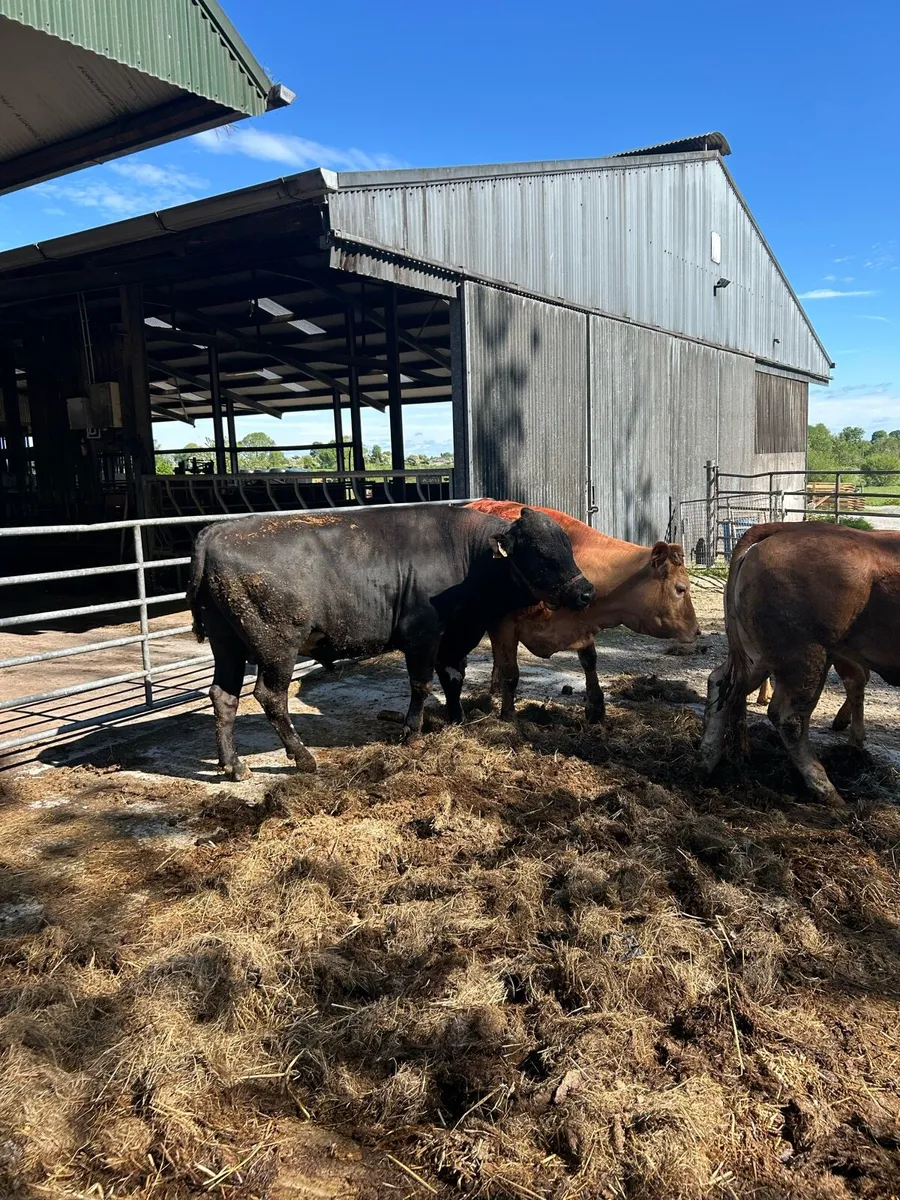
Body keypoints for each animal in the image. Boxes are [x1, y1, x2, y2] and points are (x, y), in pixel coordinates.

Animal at [186, 504, 594, 780]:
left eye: (567, 547)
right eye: (540, 553)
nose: (587, 592)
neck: (467, 555)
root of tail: (217, 532)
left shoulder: (453, 638)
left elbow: (453, 678)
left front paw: (457, 720)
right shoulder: (423, 635)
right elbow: (421, 683)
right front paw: (412, 732)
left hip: (226, 643)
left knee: (223, 696)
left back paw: (233, 765)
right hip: (276, 647)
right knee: (270, 696)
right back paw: (303, 757)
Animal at [465, 499, 701, 722]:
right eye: (681, 589)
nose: (697, 631)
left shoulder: (583, 623)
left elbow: (589, 661)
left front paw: (596, 708)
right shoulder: (505, 624)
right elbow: (511, 672)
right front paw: (508, 715)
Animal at [699, 521, 900, 806]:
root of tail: (785, 528)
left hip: (758, 656)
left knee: (721, 684)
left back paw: (705, 763)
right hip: (805, 657)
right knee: (789, 717)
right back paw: (828, 791)